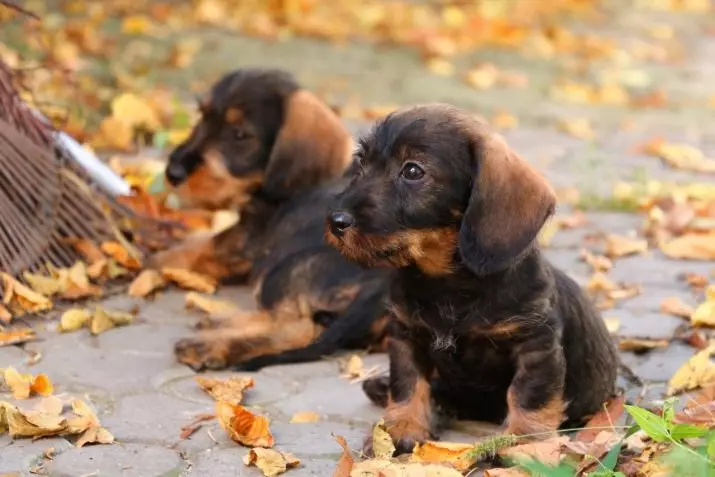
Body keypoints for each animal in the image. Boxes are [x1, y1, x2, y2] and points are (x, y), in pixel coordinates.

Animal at [150, 69, 392, 370]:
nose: (173, 172)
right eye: (202, 117)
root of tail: (380, 289)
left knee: (296, 328)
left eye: (239, 134)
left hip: (285, 268)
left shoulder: (245, 240)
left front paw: (155, 259)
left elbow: (199, 247)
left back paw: (208, 345)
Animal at [328, 102, 620, 452]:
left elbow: (528, 394)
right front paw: (402, 428)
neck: (447, 285)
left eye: (412, 171)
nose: (336, 221)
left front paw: (524, 441)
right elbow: (408, 383)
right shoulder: (406, 336)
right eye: (361, 162)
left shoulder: (535, 345)